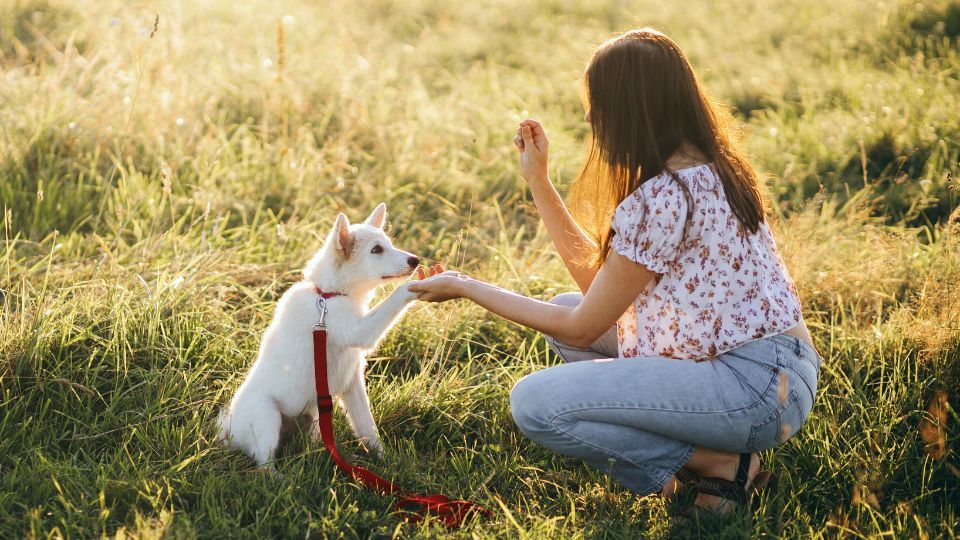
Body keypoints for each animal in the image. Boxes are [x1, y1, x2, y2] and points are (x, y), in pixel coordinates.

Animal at [222, 205, 424, 466]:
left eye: (388, 244)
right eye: (376, 250)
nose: (415, 260)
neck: (327, 295)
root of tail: (229, 432)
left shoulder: (353, 383)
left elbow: (367, 427)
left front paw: (386, 461)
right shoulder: (359, 330)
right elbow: (397, 295)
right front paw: (430, 282)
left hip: (314, 416)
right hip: (267, 415)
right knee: (264, 463)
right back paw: (277, 474)